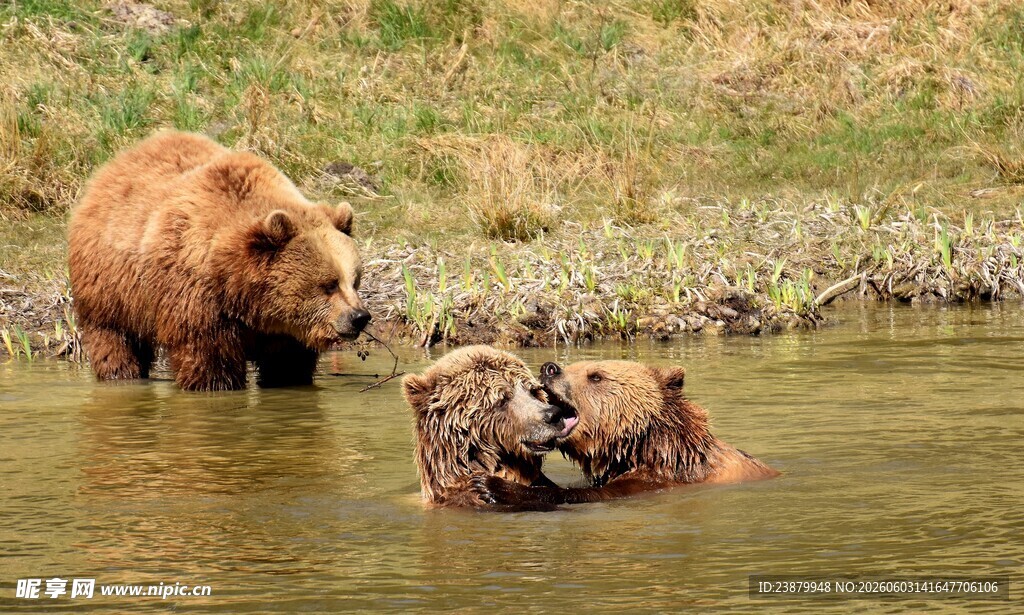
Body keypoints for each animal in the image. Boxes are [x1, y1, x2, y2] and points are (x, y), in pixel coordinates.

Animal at [68, 131, 370, 391]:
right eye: (329, 284)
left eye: (354, 280)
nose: (359, 317)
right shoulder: (199, 301)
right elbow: (210, 362)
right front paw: (215, 384)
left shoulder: (286, 331)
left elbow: (287, 366)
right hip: (112, 288)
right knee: (115, 339)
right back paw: (121, 373)